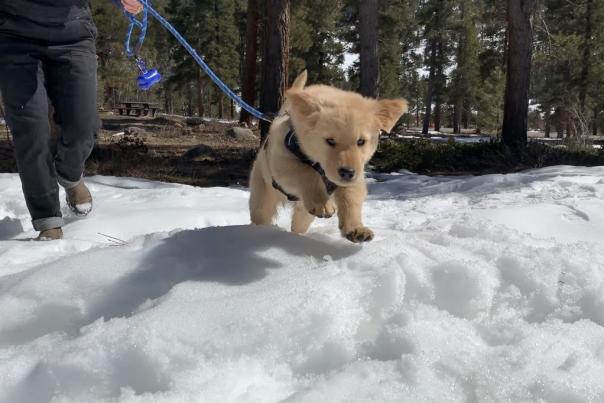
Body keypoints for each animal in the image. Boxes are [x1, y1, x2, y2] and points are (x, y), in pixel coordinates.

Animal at [248, 71, 408, 243]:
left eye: (361, 141)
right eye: (330, 140)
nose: (347, 172)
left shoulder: (356, 175)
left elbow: (351, 197)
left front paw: (356, 229)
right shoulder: (281, 163)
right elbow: (307, 173)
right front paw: (322, 203)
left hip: (304, 213)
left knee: (298, 224)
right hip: (262, 195)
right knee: (261, 213)